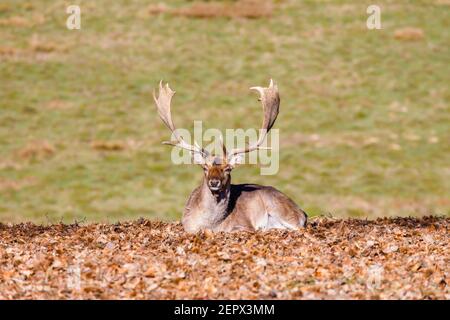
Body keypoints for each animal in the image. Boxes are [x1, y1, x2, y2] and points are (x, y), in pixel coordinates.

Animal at [153, 79, 308, 232]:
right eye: (204, 168)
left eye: (228, 169)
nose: (214, 182)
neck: (211, 225)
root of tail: (302, 212)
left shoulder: (244, 225)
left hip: (281, 209)